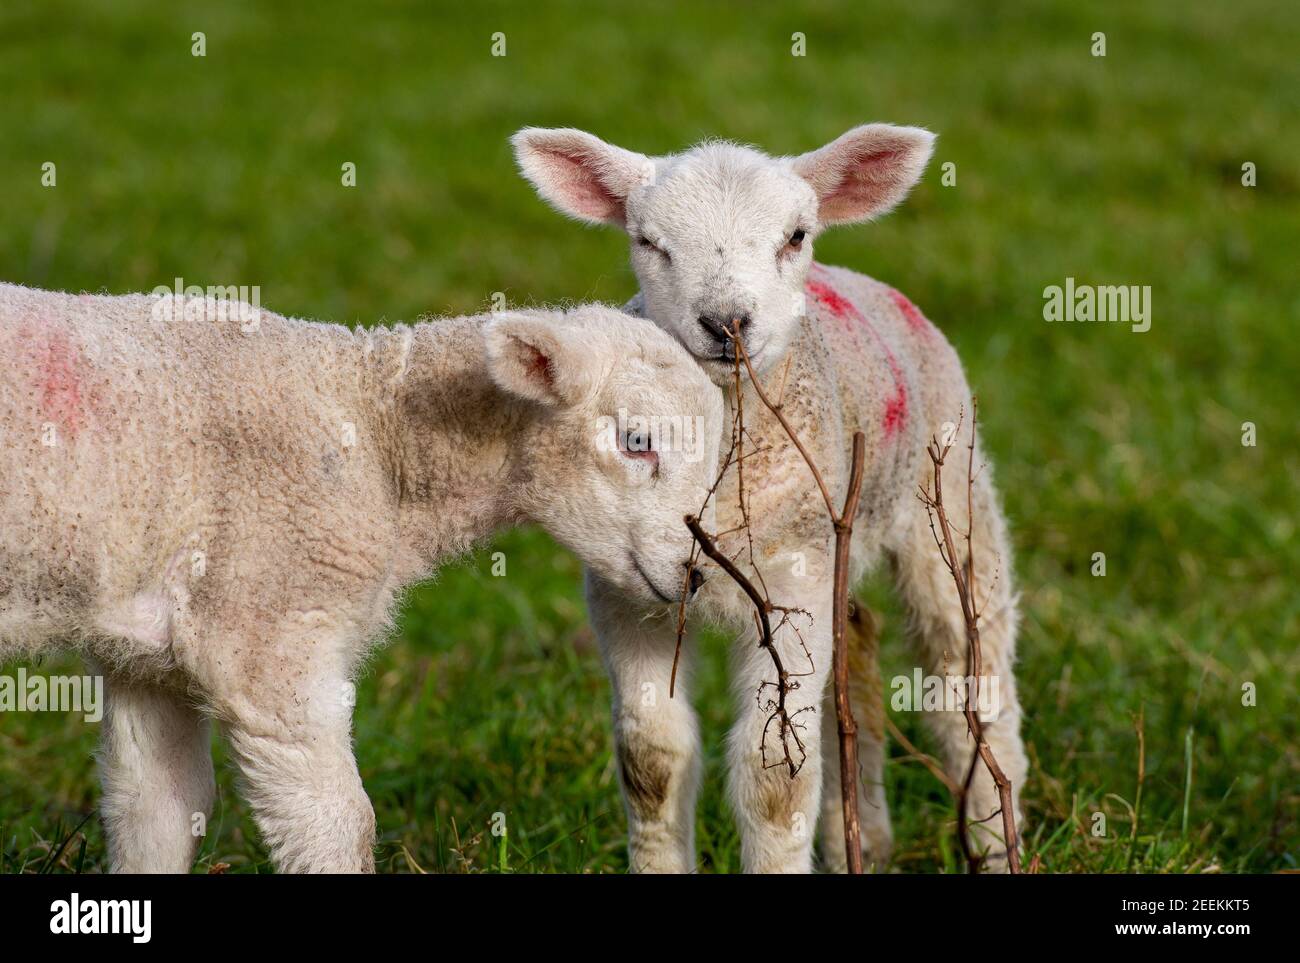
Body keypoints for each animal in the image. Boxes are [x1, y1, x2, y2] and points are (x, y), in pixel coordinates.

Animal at [0, 283, 722, 873]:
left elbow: (157, 812)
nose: (696, 576)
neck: (378, 428)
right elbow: (338, 825)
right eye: (636, 441)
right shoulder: (271, 632)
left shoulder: (148, 655)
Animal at [512, 122, 1029, 873]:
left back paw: (996, 838)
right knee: (859, 652)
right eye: (648, 241)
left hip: (949, 500)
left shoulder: (792, 584)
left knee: (969, 674)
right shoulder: (626, 594)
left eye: (796, 235)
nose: (726, 321)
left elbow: (776, 779)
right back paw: (862, 840)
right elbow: (651, 758)